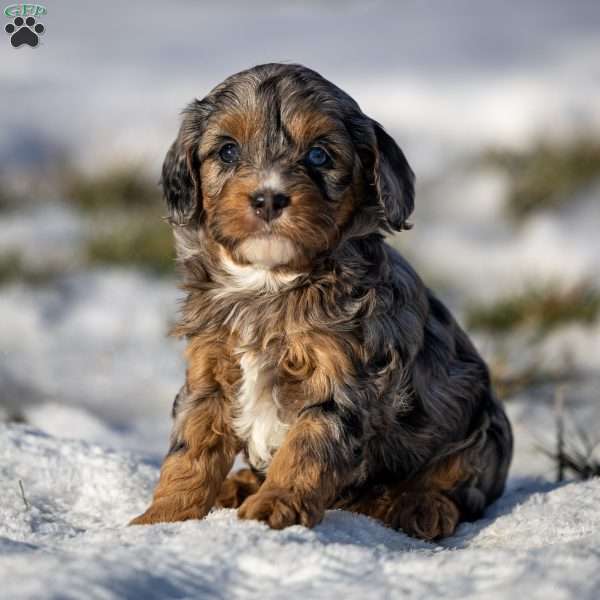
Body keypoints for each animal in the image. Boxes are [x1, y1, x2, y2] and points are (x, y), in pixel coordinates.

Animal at [131, 62, 510, 540]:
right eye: (228, 151)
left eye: (318, 156)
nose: (268, 198)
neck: (270, 284)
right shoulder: (209, 372)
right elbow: (190, 449)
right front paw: (162, 518)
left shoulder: (344, 377)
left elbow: (308, 445)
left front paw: (276, 504)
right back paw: (238, 485)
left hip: (481, 429)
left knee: (459, 482)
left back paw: (420, 506)